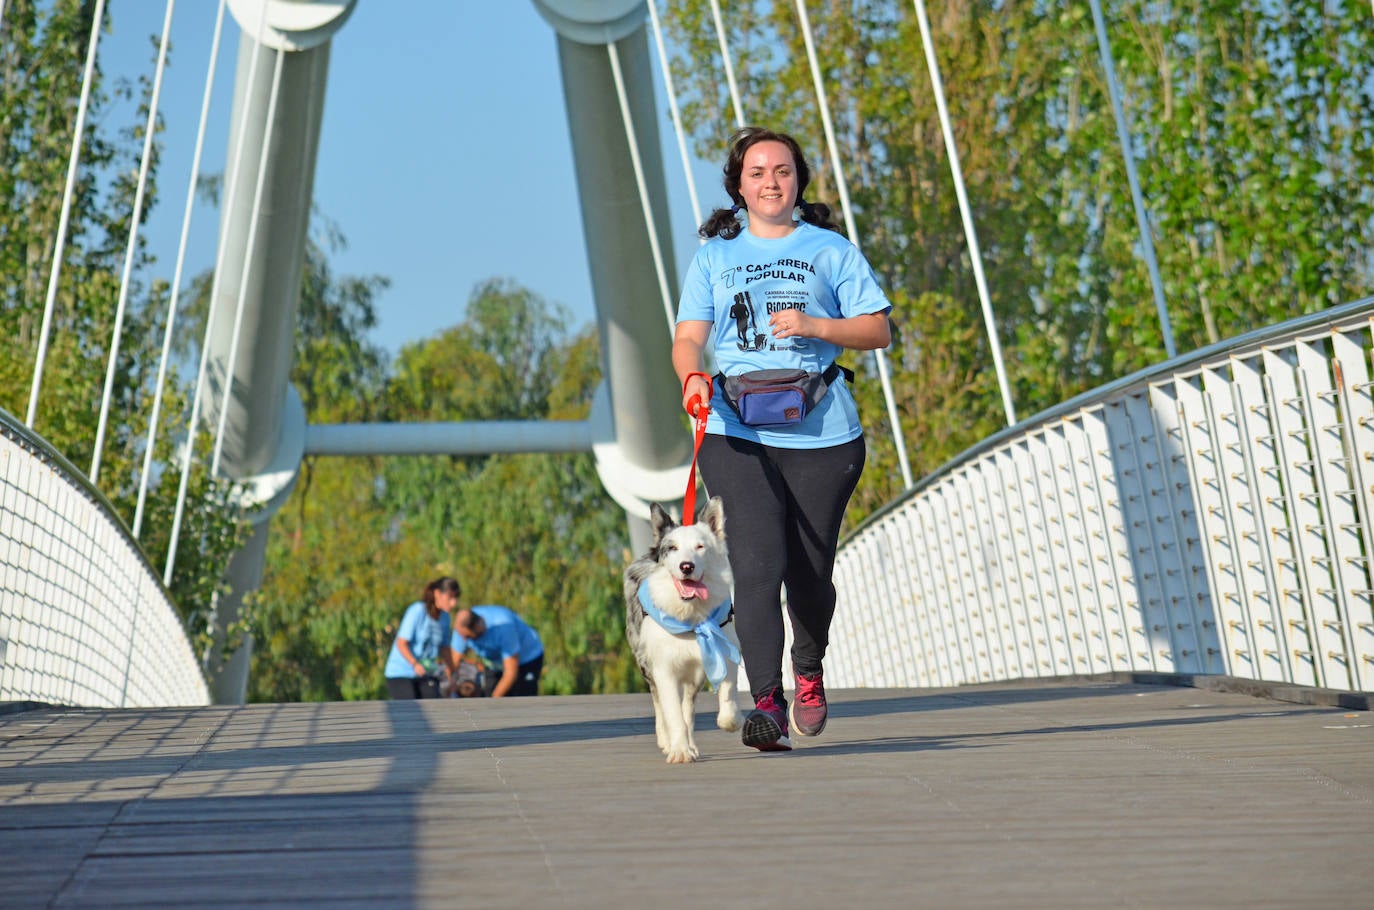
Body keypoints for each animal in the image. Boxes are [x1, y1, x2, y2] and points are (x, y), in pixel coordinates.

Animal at [626, 494, 741, 764]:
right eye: (673, 548)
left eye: (700, 547)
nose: (686, 566)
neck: (691, 617)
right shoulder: (664, 669)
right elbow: (672, 714)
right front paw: (678, 750)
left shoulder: (723, 652)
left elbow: (727, 695)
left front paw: (731, 721)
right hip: (646, 664)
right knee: (661, 705)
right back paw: (668, 741)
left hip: (693, 678)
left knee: (688, 707)